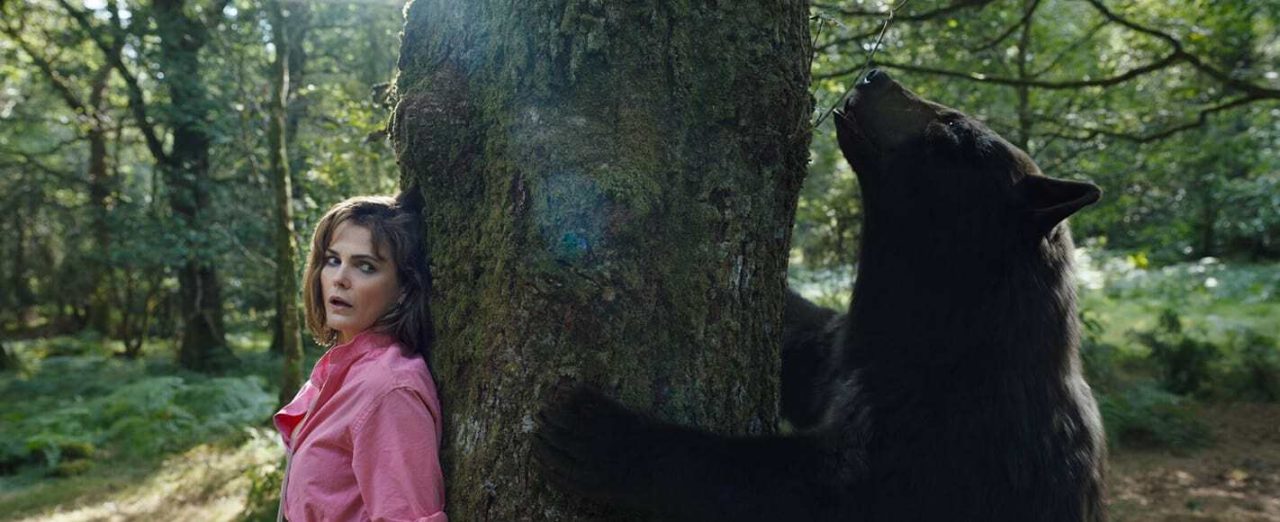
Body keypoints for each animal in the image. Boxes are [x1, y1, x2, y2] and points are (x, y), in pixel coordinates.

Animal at [534, 69, 1107, 522]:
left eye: (952, 127)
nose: (874, 74)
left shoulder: (949, 443)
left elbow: (793, 489)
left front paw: (602, 436)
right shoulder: (848, 354)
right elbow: (805, 344)